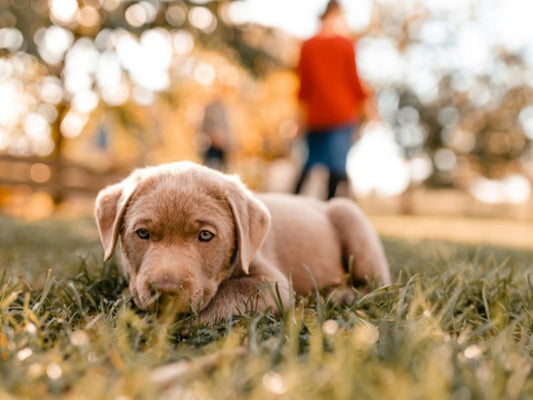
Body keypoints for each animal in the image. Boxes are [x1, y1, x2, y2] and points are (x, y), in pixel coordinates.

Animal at [93, 161, 388, 324]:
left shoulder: (273, 284)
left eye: (206, 236)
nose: (166, 290)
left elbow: (230, 292)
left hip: (351, 220)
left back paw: (341, 294)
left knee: (378, 285)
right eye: (142, 233)